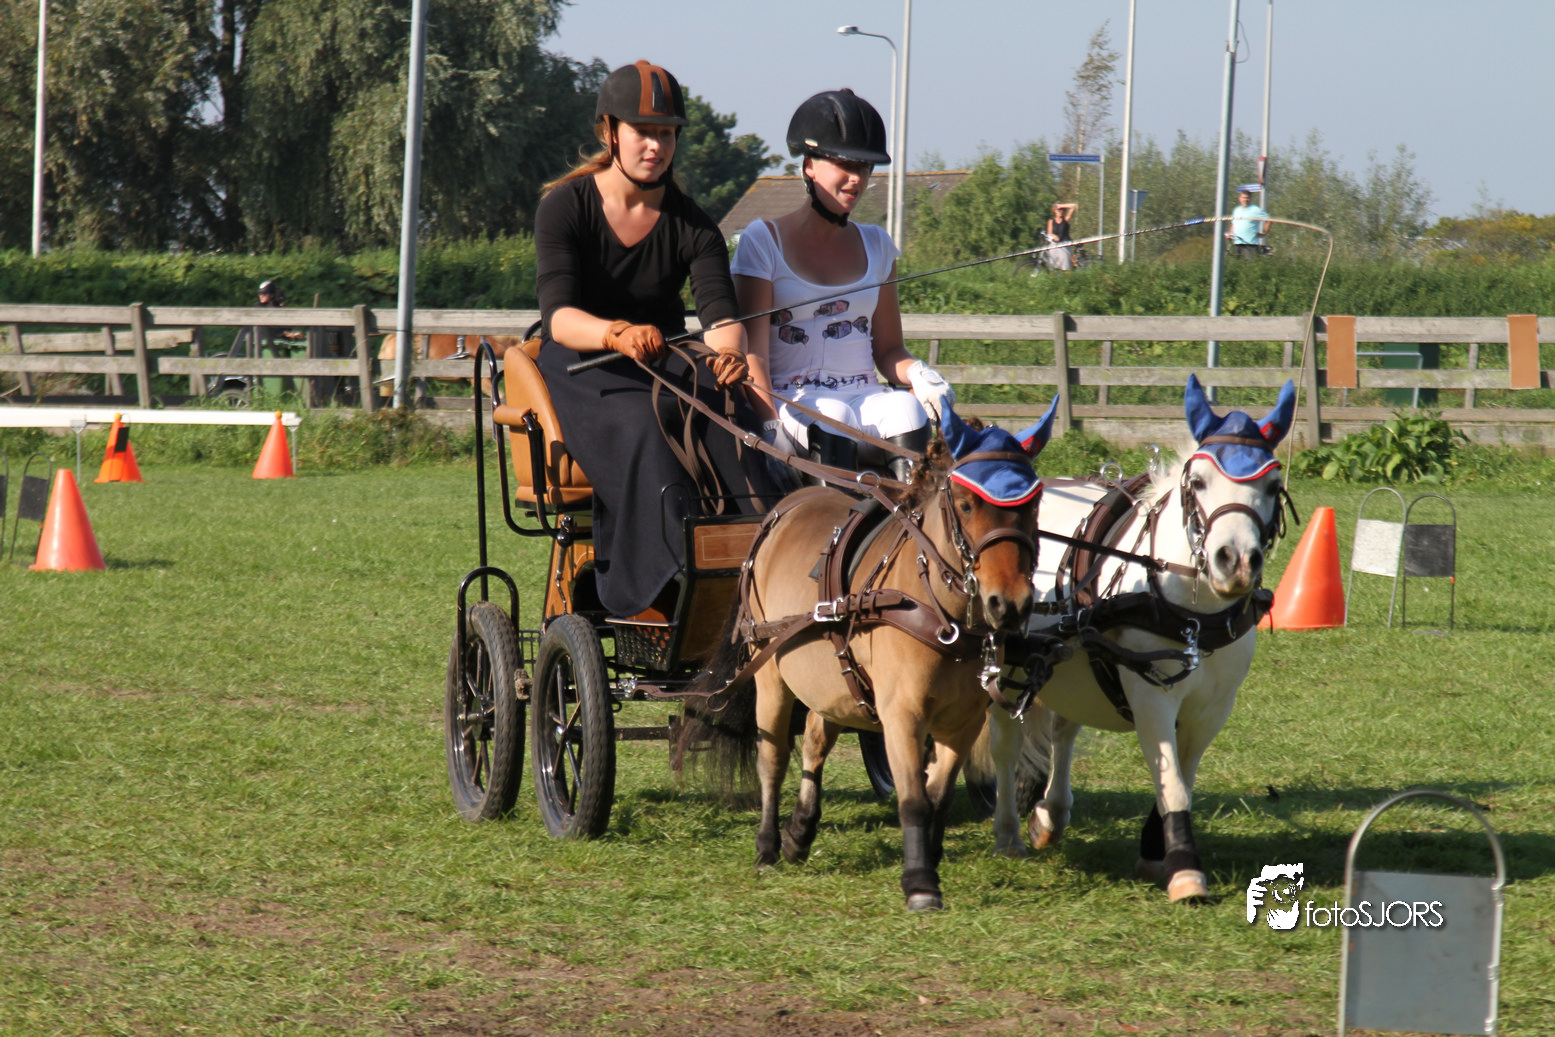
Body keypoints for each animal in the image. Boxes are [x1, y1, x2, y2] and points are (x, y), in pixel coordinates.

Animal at [675, 402, 1059, 911]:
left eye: (1033, 504)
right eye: (965, 503)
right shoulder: (903, 714)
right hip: (771, 674)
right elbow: (914, 797)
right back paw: (768, 846)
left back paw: (799, 832)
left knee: (815, 742)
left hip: (830, 679)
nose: (1009, 604)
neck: (936, 608)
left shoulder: (963, 721)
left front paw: (930, 855)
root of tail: (781, 509)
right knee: (772, 757)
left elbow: (937, 794)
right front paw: (920, 882)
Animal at [979, 374, 1297, 903]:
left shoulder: (1214, 708)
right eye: (1198, 482)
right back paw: (1007, 832)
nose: (1235, 561)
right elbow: (1171, 784)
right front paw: (1185, 870)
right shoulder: (1152, 697)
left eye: (1272, 485)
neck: (1192, 616)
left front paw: (1155, 850)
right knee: (1005, 741)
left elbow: (1182, 778)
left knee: (1063, 731)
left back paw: (1050, 814)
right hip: (1005, 669)